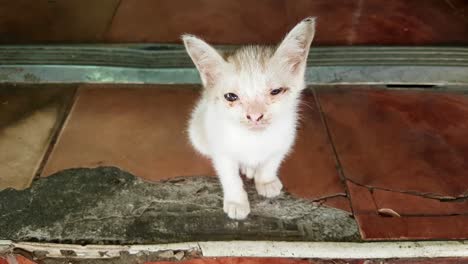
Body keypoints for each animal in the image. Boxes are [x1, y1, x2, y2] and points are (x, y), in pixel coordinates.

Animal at [182, 16, 314, 219]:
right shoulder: (221, 149)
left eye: (276, 91)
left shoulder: (285, 139)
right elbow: (229, 175)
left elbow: (272, 161)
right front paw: (236, 201)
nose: (255, 116)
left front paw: (266, 181)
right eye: (231, 96)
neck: (254, 139)